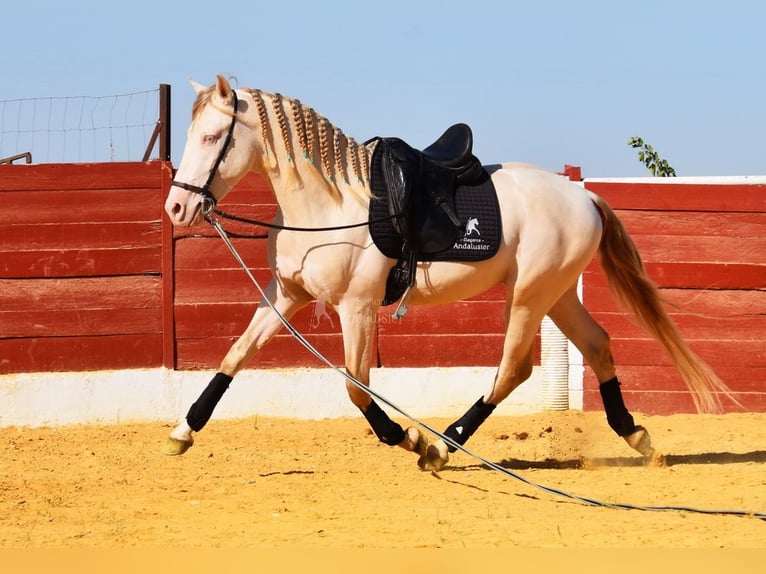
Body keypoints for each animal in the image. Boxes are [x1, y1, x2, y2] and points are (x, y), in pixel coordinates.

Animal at [162, 74, 733, 470]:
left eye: (212, 138)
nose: (176, 208)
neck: (328, 207)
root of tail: (584, 195)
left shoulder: (357, 307)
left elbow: (356, 386)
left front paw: (407, 437)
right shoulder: (285, 296)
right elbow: (234, 356)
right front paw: (183, 432)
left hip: (529, 296)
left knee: (512, 370)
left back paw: (443, 445)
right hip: (557, 294)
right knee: (596, 345)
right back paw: (637, 437)